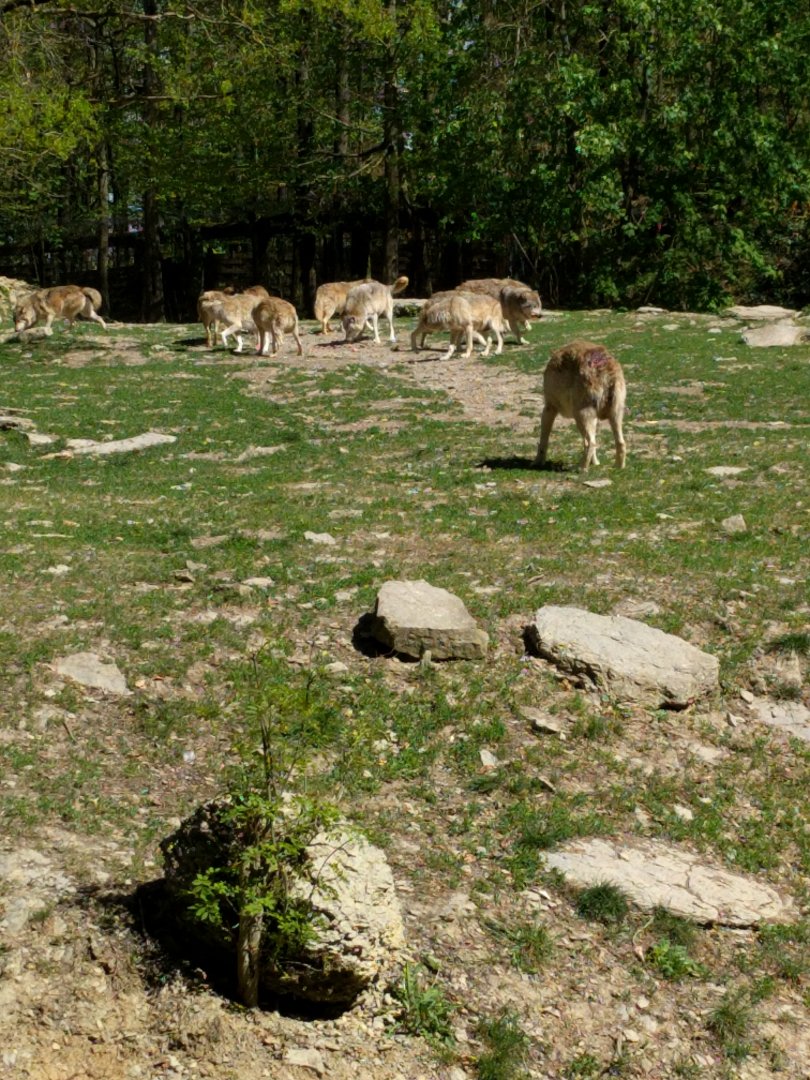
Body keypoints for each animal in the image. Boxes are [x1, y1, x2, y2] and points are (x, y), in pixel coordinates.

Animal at [535, 340, 627, 471]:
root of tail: (606, 369)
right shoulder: (594, 418)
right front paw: (595, 463)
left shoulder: (549, 407)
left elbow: (543, 440)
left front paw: (538, 462)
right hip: (616, 413)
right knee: (620, 443)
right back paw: (618, 467)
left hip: (581, 414)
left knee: (591, 443)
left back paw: (581, 468)